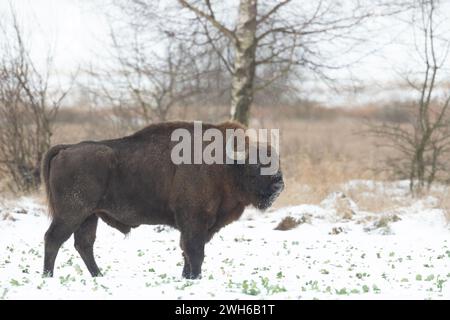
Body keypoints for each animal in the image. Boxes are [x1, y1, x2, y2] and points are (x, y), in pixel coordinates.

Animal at [40, 121, 284, 278]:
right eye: (256, 164)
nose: (279, 184)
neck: (227, 165)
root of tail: (67, 149)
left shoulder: (197, 225)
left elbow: (186, 251)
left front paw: (187, 277)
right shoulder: (194, 221)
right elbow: (195, 251)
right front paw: (195, 278)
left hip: (90, 216)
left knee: (84, 243)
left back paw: (98, 275)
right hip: (72, 213)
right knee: (53, 239)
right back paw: (48, 277)